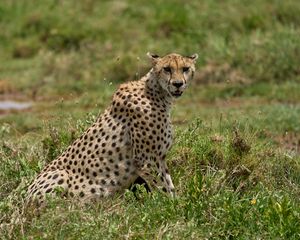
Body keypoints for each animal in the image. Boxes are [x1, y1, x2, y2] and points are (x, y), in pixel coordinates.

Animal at [27, 52, 198, 202]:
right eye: (167, 69)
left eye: (185, 69)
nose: (178, 84)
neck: (158, 93)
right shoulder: (147, 159)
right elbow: (164, 188)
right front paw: (173, 206)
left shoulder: (160, 158)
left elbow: (169, 184)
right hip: (59, 174)